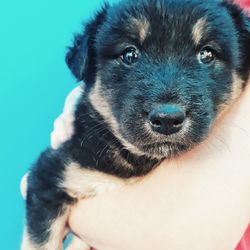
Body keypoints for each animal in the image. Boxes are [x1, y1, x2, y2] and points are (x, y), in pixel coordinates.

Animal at [22, 0, 249, 249]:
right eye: (129, 54)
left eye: (207, 53)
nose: (167, 119)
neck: (138, 161)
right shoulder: (53, 173)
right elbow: (40, 241)